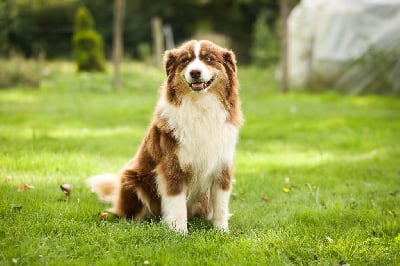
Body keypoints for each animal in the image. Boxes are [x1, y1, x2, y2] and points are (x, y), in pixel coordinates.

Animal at [87, 39, 242, 233]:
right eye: (185, 61)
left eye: (209, 59)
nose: (195, 72)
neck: (200, 106)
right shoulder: (172, 166)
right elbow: (177, 204)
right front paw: (179, 232)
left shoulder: (222, 167)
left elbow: (221, 205)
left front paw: (222, 232)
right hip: (132, 178)